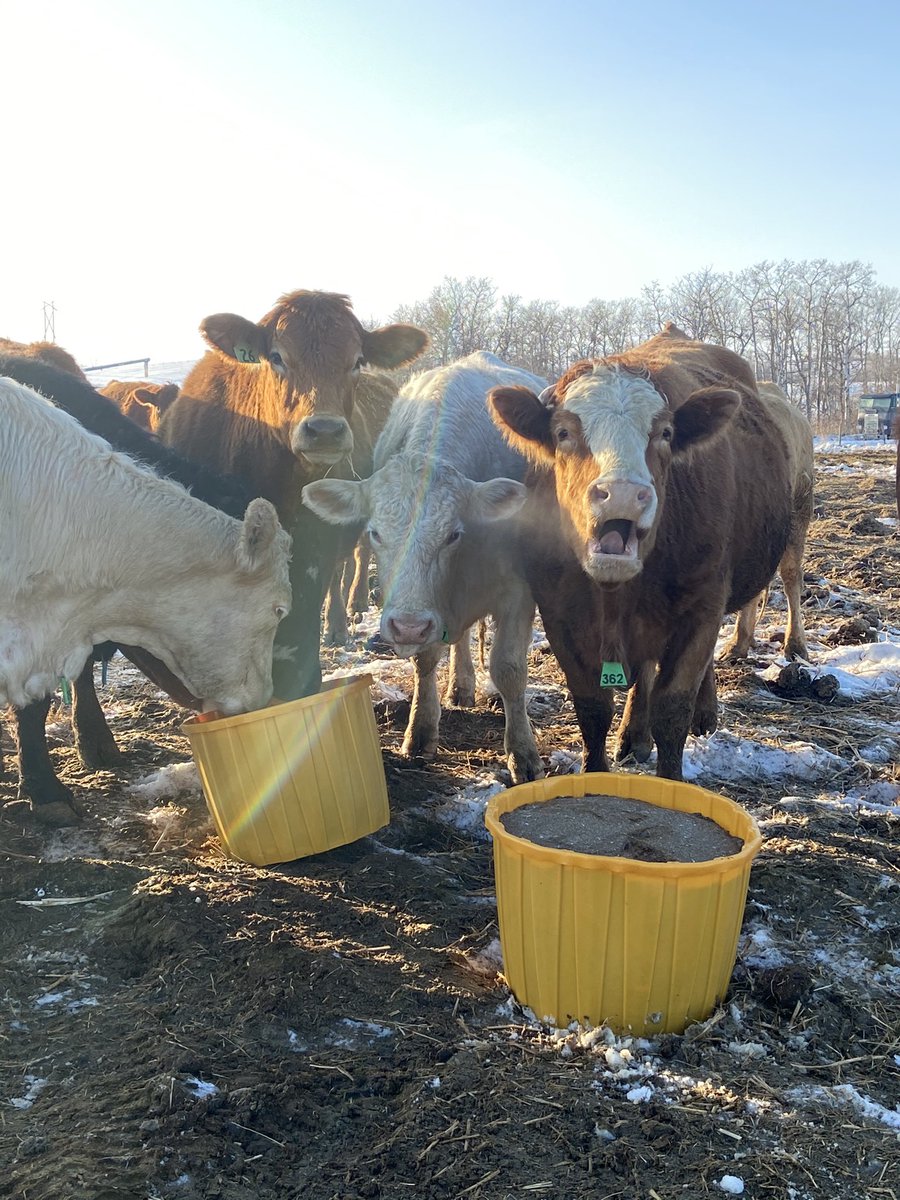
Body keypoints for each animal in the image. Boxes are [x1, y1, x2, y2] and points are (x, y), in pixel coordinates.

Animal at [303, 351, 547, 783]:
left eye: (453, 534)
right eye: (375, 533)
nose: (408, 626)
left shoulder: (518, 590)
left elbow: (509, 668)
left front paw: (523, 753)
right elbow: (426, 659)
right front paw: (419, 730)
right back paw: (460, 686)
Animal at [487, 324, 796, 781]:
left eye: (664, 433)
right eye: (563, 433)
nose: (622, 493)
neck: (616, 594)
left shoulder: (701, 608)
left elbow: (673, 710)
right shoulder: (561, 614)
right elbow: (593, 709)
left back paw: (703, 713)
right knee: (644, 673)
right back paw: (634, 735)